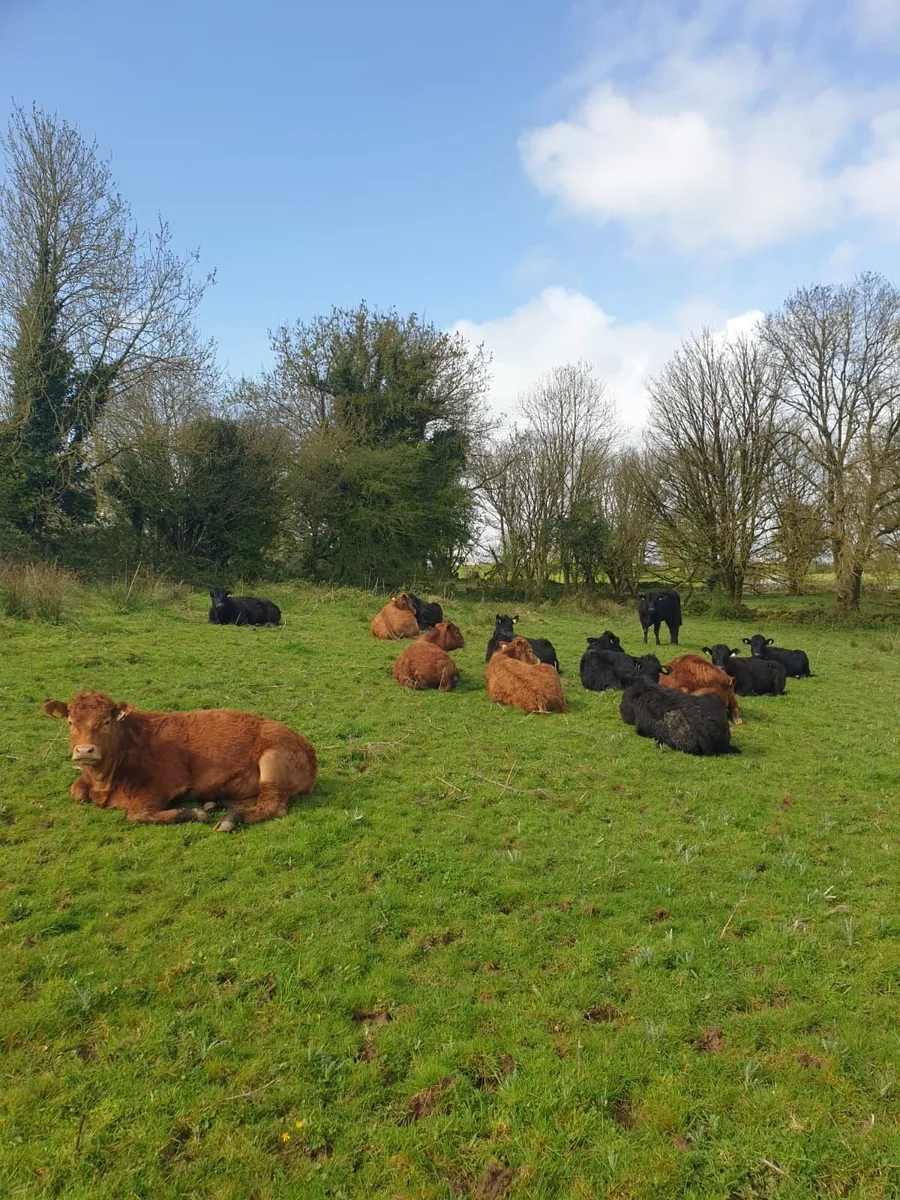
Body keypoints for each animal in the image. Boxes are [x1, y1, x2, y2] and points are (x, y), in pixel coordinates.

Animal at [43, 690, 317, 831]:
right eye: (70, 722)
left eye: (106, 722)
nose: (85, 751)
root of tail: (304, 743)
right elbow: (76, 791)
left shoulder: (167, 783)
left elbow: (137, 813)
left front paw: (191, 813)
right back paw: (217, 804)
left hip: (272, 762)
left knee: (272, 805)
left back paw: (229, 818)